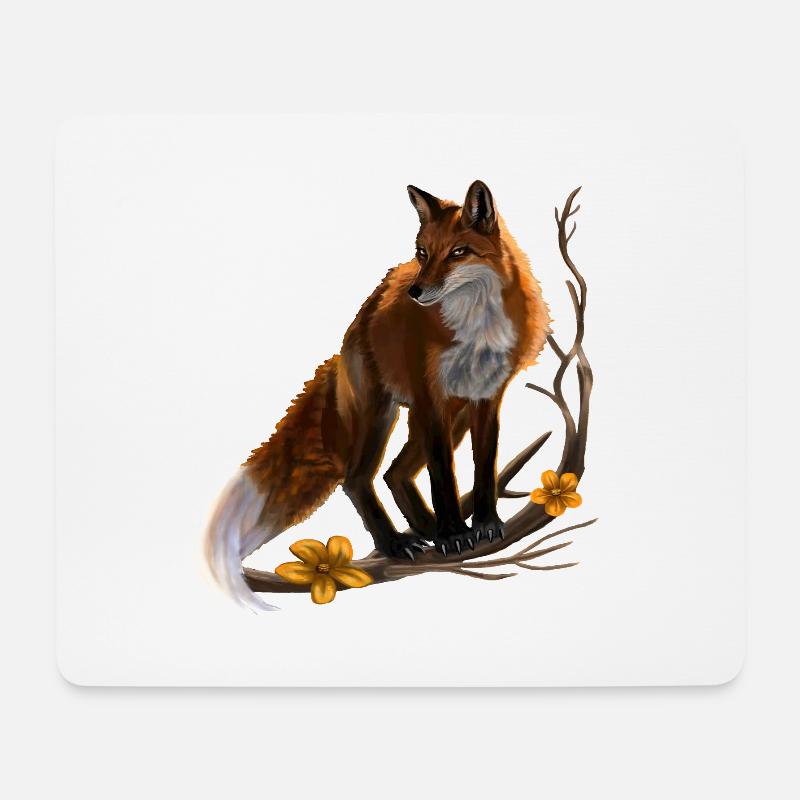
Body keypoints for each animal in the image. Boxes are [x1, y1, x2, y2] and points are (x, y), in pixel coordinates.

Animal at [205, 180, 550, 610]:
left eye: (458, 252)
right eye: (423, 252)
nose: (417, 291)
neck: (475, 329)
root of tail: (353, 331)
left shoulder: (486, 399)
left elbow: (484, 468)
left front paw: (484, 524)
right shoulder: (431, 398)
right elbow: (443, 479)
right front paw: (454, 534)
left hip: (447, 417)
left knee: (394, 472)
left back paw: (425, 529)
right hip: (384, 416)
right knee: (357, 479)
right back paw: (396, 542)